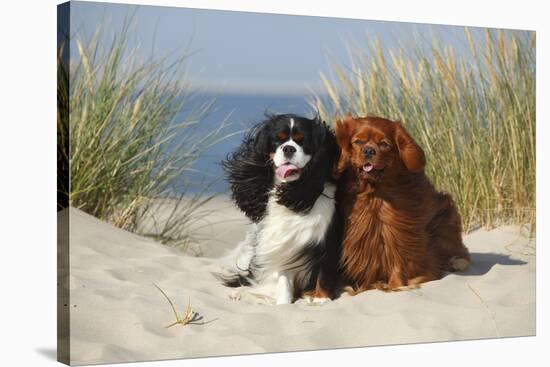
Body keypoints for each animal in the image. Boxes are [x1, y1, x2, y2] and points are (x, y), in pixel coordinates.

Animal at [219, 113, 340, 306]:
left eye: (303, 141)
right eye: (278, 140)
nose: (289, 149)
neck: (291, 190)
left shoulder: (328, 240)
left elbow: (324, 271)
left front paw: (320, 299)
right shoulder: (285, 243)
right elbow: (284, 279)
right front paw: (283, 303)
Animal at [336, 115, 470, 294]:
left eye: (384, 144)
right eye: (357, 142)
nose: (369, 150)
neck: (374, 194)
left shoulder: (398, 234)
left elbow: (399, 262)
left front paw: (396, 286)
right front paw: (363, 287)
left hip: (444, 219)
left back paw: (456, 262)